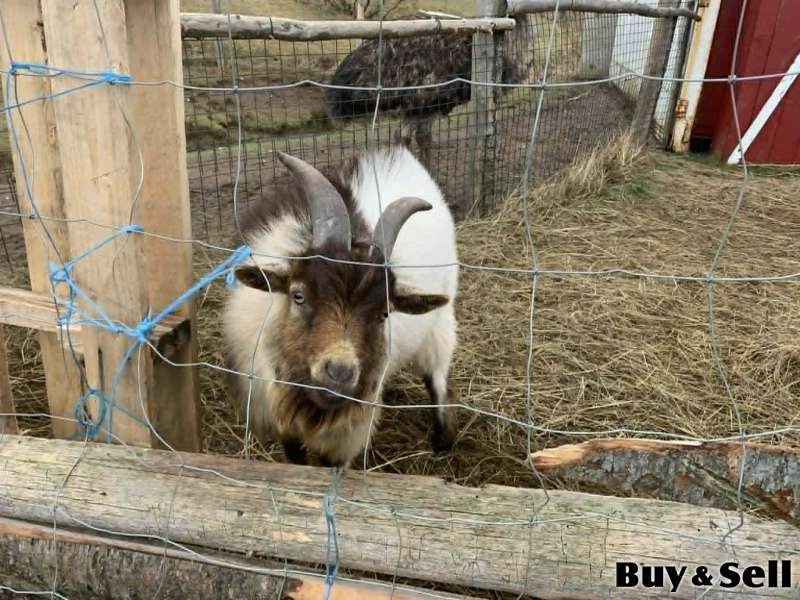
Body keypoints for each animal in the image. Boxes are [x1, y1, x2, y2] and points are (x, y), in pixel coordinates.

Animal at [223, 145, 459, 468]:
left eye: (384, 313)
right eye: (298, 295)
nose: (339, 374)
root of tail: (400, 154)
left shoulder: (344, 441)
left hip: (441, 322)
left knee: (437, 377)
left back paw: (442, 439)